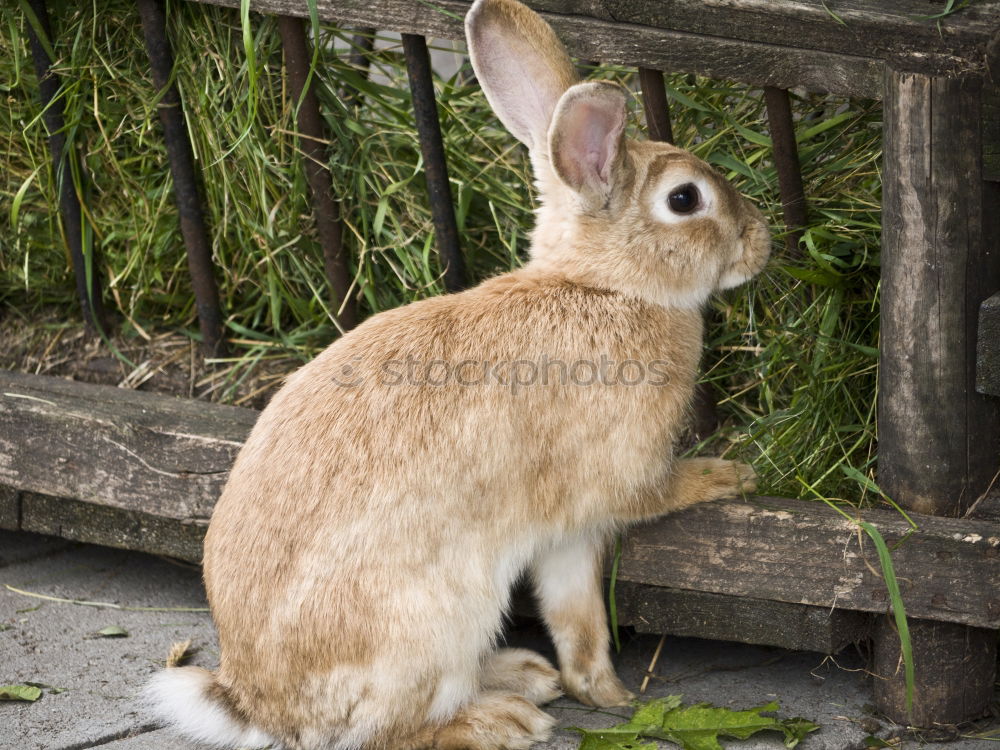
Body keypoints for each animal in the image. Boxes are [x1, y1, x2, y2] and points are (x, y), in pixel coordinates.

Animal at [143, 1, 764, 750]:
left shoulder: (563, 535)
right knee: (389, 732)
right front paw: (730, 478)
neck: (604, 289)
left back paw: (525, 675)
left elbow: (574, 620)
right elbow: (635, 531)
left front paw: (603, 693)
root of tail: (257, 706)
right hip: (436, 621)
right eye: (685, 199)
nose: (760, 239)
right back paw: (503, 719)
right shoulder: (616, 484)